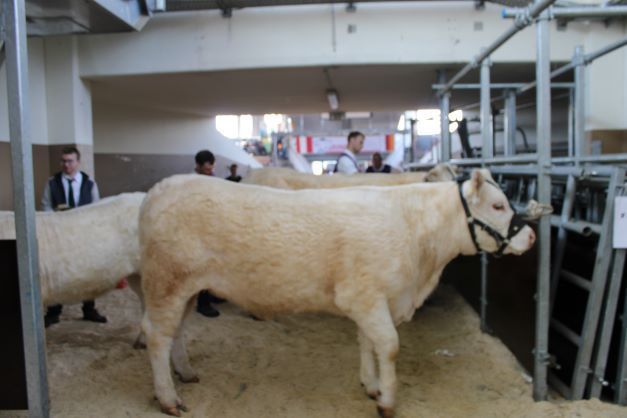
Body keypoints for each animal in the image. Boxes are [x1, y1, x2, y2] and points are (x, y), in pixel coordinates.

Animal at [140, 168, 536, 416]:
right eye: (498, 205)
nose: (531, 235)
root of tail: (158, 189)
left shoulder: (371, 300)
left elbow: (368, 343)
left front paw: (371, 385)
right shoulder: (366, 297)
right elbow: (389, 346)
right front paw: (387, 401)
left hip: (188, 288)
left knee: (177, 332)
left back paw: (185, 373)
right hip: (166, 283)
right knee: (158, 337)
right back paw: (169, 398)